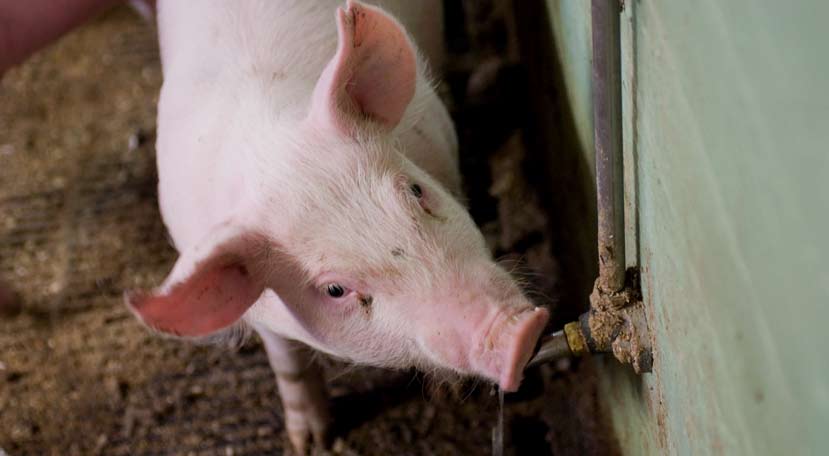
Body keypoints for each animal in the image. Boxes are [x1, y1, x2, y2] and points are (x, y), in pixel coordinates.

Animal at [126, 0, 548, 448]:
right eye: (335, 289)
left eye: (415, 191)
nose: (520, 331)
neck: (270, 152)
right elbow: (289, 363)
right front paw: (312, 443)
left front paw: (449, 391)